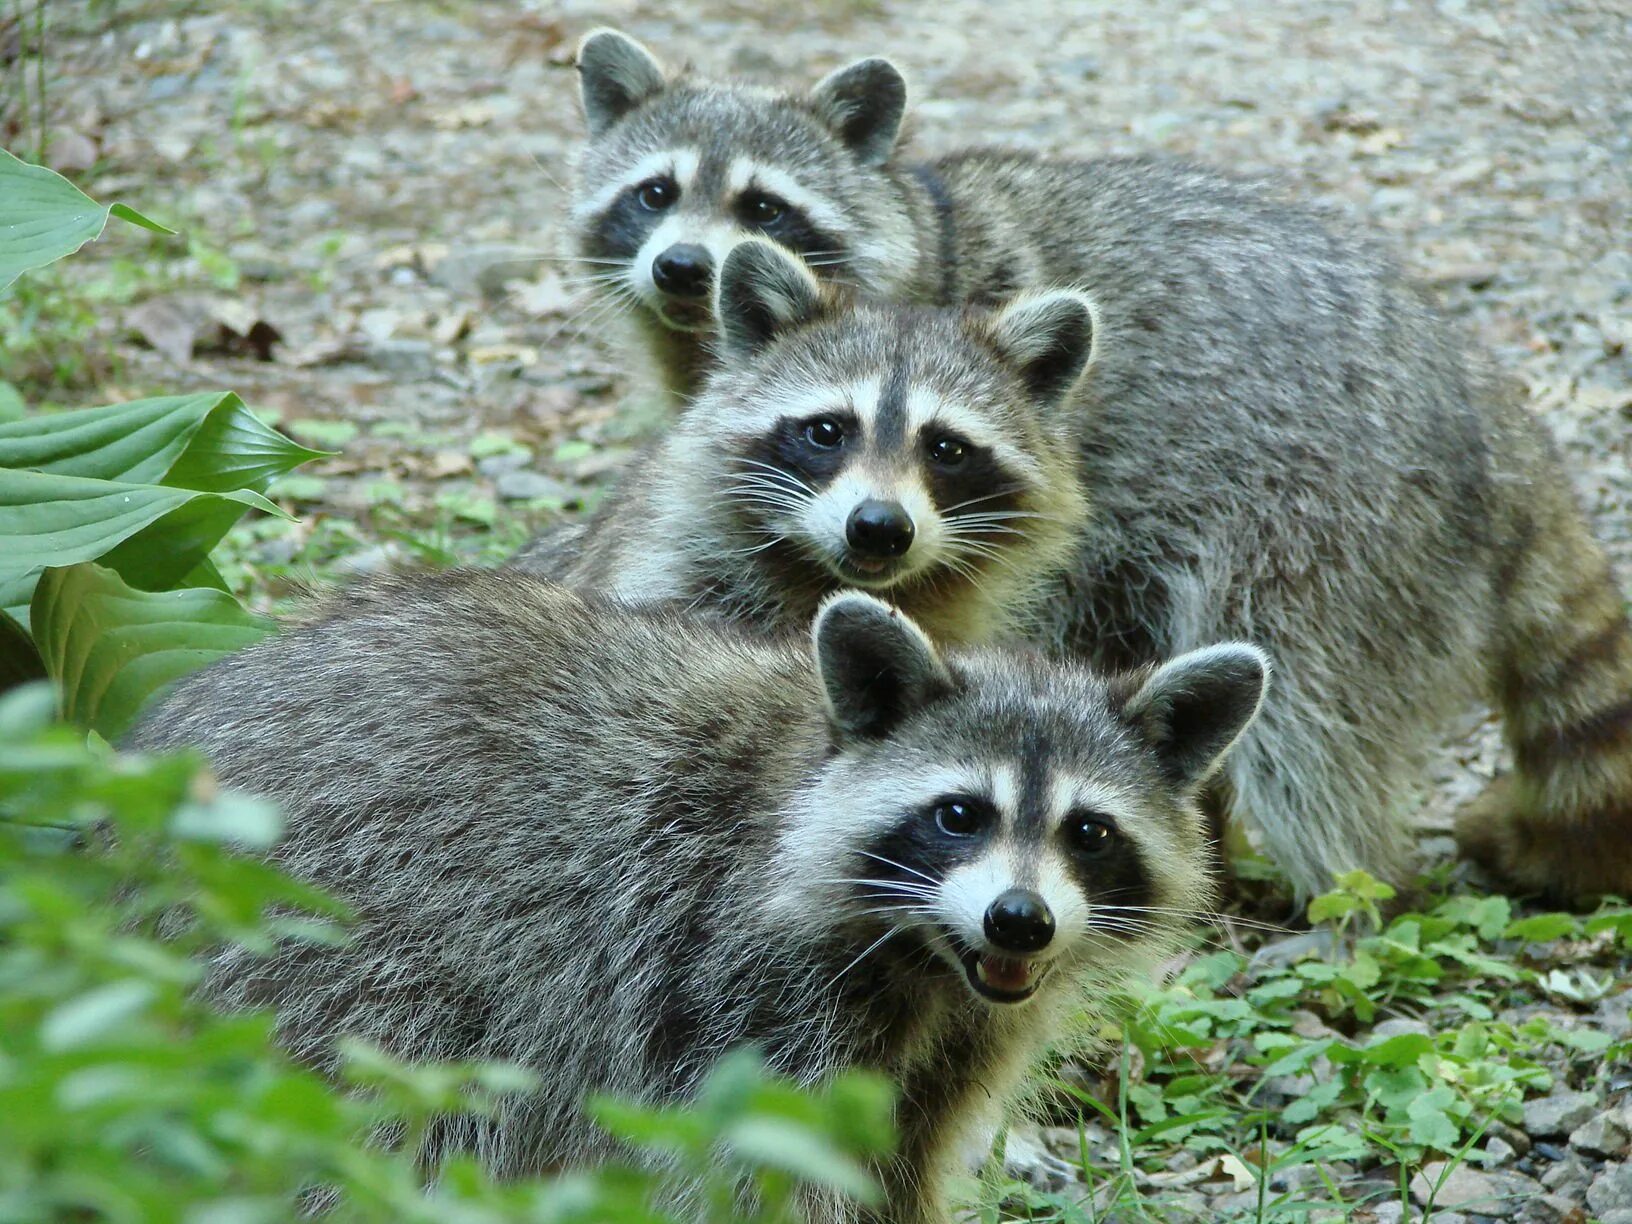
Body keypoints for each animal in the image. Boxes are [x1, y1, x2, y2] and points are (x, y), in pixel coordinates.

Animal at [130, 574, 1272, 1224]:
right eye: (960, 815)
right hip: (330, 954)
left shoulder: (960, 1040)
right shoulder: (737, 984)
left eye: (1089, 832)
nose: (1019, 921)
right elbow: (766, 1176)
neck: (925, 958)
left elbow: (903, 1165)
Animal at [535, 241, 1632, 913]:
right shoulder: (679, 585)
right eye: (825, 431)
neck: (853, 581)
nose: (880, 528)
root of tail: (1485, 402)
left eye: (946, 448)